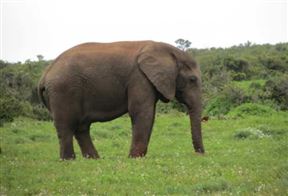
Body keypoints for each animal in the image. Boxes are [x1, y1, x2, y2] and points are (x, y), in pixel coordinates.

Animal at [38, 40, 205, 160]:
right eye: (192, 79)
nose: (200, 154)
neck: (168, 51)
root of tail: (45, 75)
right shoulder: (139, 77)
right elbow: (142, 112)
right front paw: (135, 158)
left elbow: (148, 115)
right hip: (63, 90)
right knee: (66, 126)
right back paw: (69, 160)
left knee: (81, 127)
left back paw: (94, 159)